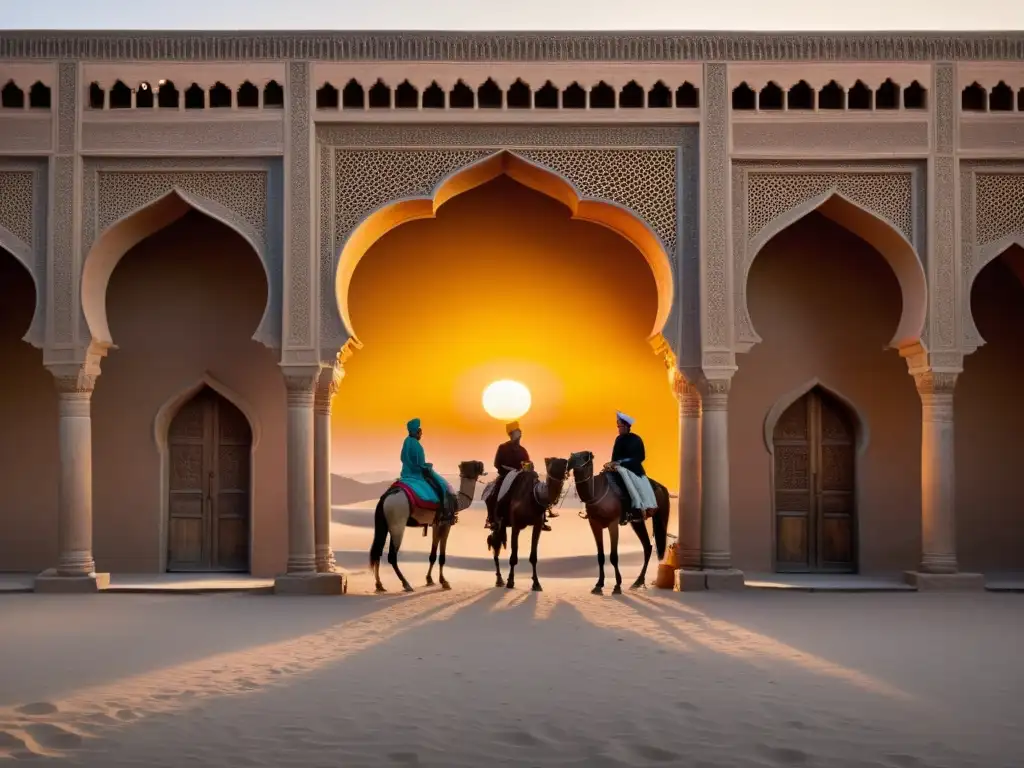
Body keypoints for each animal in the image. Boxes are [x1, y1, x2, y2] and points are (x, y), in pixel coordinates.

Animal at [368, 462, 487, 593]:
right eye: (475, 464)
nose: (482, 465)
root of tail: (385, 498)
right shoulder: (446, 524)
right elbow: (442, 556)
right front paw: (444, 582)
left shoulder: (436, 524)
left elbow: (432, 555)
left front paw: (429, 579)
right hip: (397, 523)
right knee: (392, 556)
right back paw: (406, 584)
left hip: (384, 524)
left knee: (378, 551)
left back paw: (379, 585)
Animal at [485, 460, 573, 593]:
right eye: (552, 465)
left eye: (565, 466)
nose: (560, 478)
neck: (531, 497)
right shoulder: (516, 526)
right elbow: (513, 556)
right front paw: (510, 581)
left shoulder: (537, 526)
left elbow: (533, 556)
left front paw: (536, 583)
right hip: (496, 521)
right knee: (495, 544)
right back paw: (499, 580)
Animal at [565, 450, 667, 593]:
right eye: (572, 457)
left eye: (585, 457)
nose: (569, 465)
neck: (597, 492)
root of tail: (662, 488)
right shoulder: (594, 524)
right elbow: (600, 556)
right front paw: (598, 584)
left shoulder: (613, 523)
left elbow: (614, 556)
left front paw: (617, 586)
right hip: (637, 522)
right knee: (647, 546)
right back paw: (637, 582)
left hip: (659, 516)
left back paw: (640, 581)